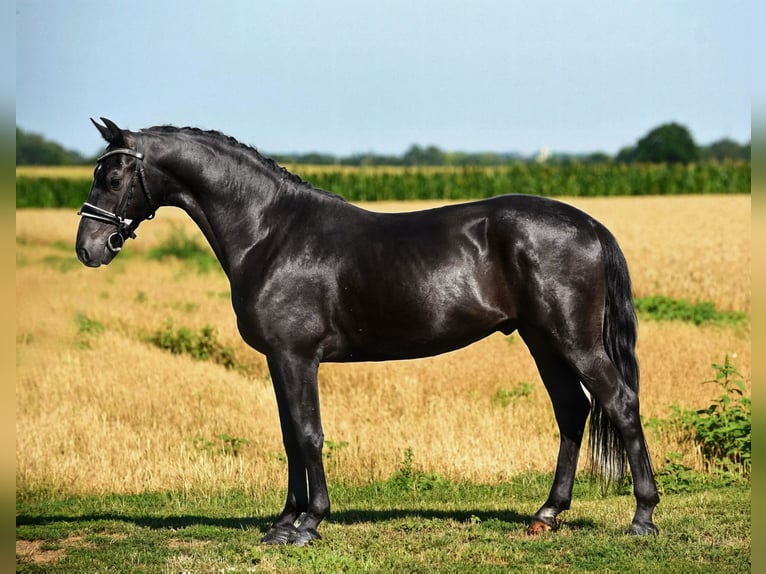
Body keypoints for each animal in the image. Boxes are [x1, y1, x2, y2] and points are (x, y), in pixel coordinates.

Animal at [78, 119, 660, 548]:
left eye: (113, 178)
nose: (89, 248)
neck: (270, 232)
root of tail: (589, 225)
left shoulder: (296, 356)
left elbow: (308, 434)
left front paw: (309, 524)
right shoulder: (278, 359)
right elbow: (289, 437)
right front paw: (282, 524)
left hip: (574, 342)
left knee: (620, 403)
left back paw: (643, 516)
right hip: (542, 341)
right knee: (572, 410)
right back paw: (547, 513)